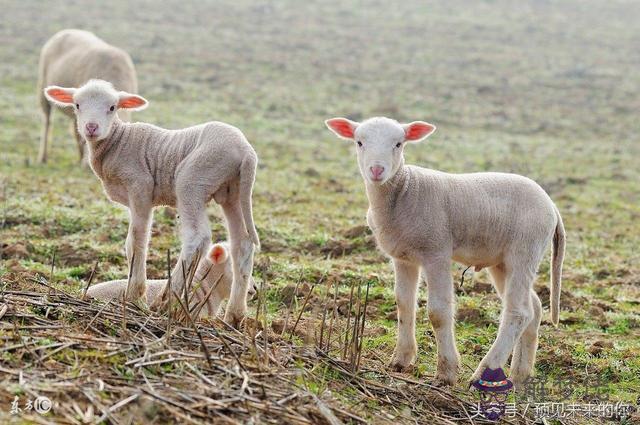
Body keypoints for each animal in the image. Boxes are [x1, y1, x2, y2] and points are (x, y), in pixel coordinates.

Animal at [37, 28, 138, 164]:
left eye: (112, 108)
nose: (92, 127)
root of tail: (69, 30)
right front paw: (85, 162)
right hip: (42, 88)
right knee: (47, 122)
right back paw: (43, 157)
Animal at [324, 116, 564, 388]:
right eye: (359, 142)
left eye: (398, 144)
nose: (376, 170)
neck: (405, 189)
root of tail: (552, 206)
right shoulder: (403, 258)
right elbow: (404, 304)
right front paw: (400, 360)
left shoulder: (436, 253)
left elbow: (438, 312)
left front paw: (446, 372)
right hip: (502, 261)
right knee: (533, 308)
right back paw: (519, 376)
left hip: (524, 250)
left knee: (518, 312)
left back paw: (484, 373)